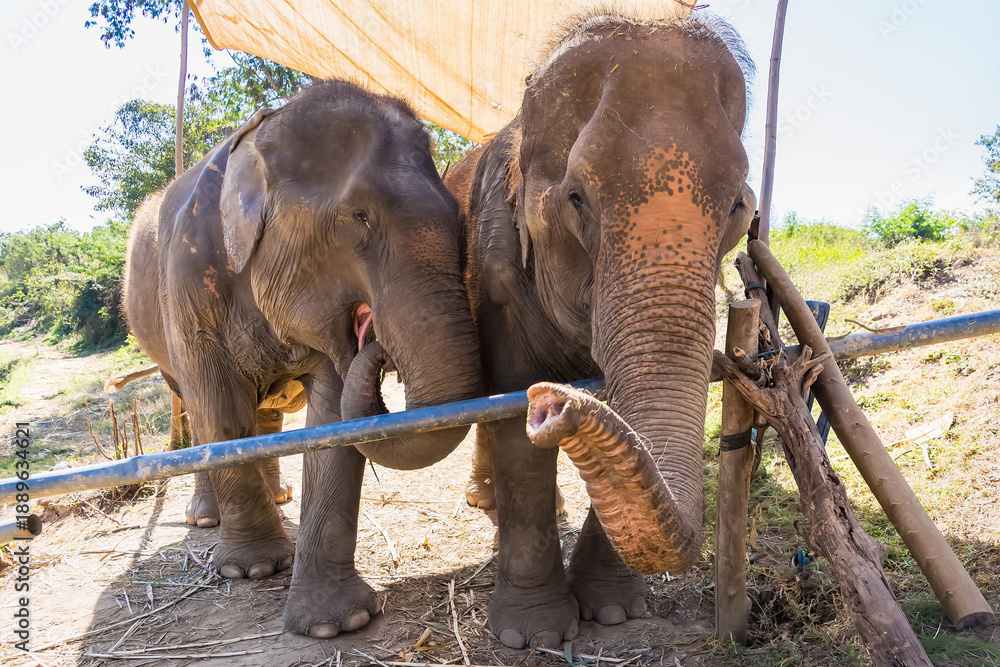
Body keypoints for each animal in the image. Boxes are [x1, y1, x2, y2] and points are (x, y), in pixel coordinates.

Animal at [122, 81, 482, 620]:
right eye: (360, 217)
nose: (376, 346)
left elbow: (332, 421)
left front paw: (338, 621)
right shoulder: (188, 277)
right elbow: (219, 408)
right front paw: (253, 569)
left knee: (264, 413)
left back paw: (279, 495)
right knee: (196, 406)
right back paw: (207, 520)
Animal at [442, 12, 757, 649]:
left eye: (739, 206)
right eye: (575, 198)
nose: (553, 404)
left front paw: (614, 613)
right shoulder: (495, 267)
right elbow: (512, 411)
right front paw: (534, 636)